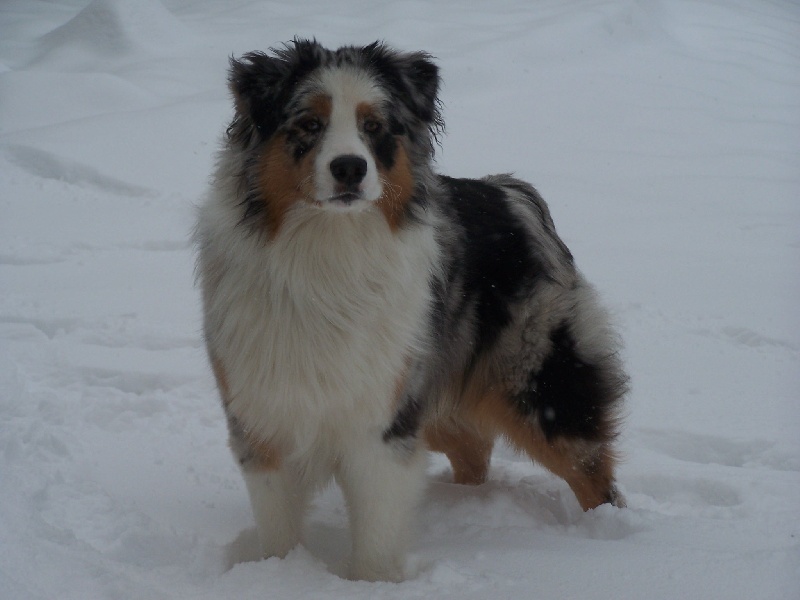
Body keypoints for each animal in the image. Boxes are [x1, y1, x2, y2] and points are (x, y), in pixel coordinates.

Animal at [197, 38, 628, 580]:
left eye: (374, 126)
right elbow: (278, 522)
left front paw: (373, 582)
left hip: (535, 381)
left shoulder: (383, 415)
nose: (350, 168)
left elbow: (378, 526)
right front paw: (276, 573)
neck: (328, 251)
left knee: (593, 472)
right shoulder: (262, 409)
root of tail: (515, 194)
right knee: (474, 450)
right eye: (310, 123)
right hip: (437, 386)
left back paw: (612, 543)